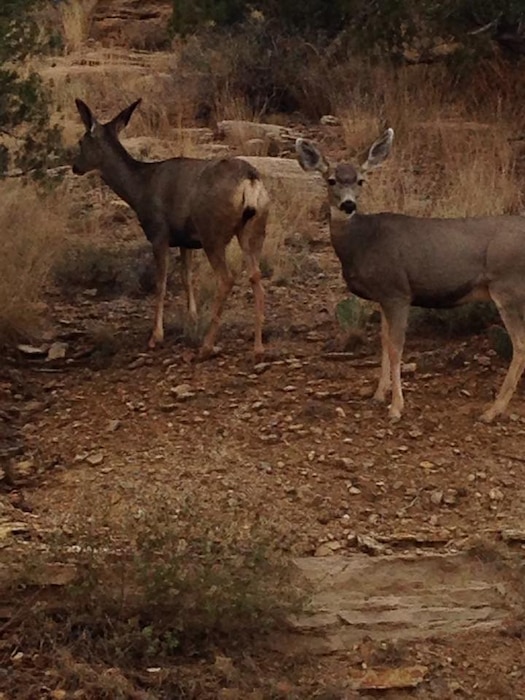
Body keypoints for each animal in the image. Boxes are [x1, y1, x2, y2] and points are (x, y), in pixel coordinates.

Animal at [72, 98, 270, 358]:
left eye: (81, 141)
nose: (75, 167)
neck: (139, 188)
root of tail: (250, 180)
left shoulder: (159, 233)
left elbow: (161, 282)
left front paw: (156, 336)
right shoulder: (186, 240)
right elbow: (187, 278)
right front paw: (192, 320)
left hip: (212, 232)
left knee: (226, 278)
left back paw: (207, 345)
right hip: (254, 229)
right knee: (256, 275)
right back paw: (257, 346)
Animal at [296, 129, 524, 424]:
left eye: (361, 180)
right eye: (331, 179)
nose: (348, 204)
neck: (362, 242)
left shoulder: (398, 291)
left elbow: (396, 348)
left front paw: (396, 407)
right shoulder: (383, 297)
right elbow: (383, 342)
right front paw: (378, 395)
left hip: (507, 287)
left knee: (519, 345)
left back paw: (492, 411)